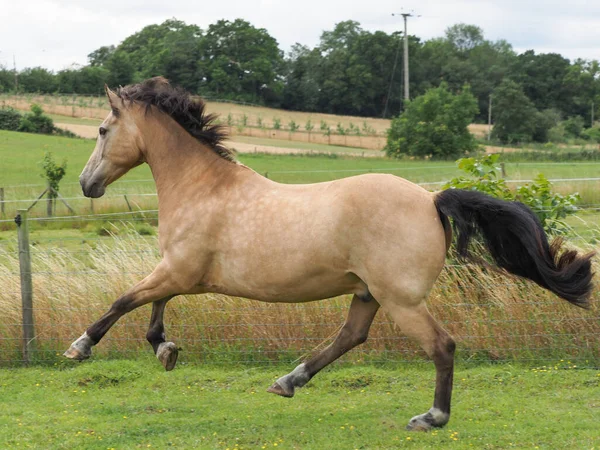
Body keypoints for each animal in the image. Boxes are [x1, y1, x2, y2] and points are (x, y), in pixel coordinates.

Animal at [63, 78, 592, 432]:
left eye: (102, 130)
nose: (87, 185)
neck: (204, 188)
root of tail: (431, 199)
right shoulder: (179, 273)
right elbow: (150, 304)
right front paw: (165, 350)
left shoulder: (178, 270)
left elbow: (125, 300)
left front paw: (80, 347)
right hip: (368, 293)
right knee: (350, 337)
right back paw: (289, 380)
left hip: (400, 299)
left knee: (441, 346)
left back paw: (431, 417)